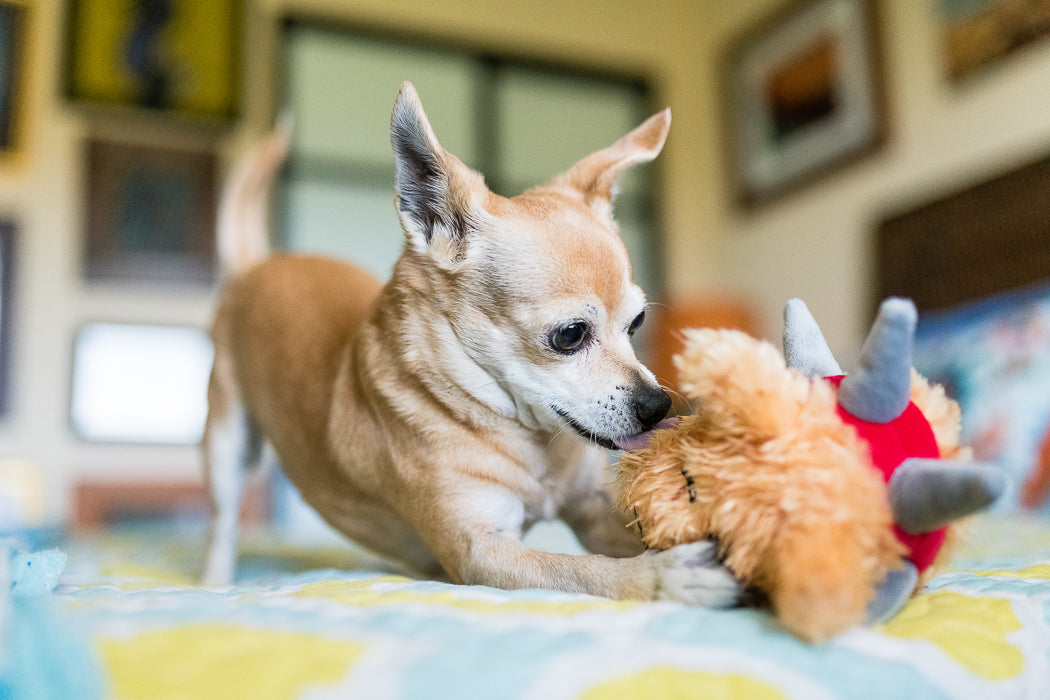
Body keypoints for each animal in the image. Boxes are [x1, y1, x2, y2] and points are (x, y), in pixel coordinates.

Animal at [198, 83, 739, 608]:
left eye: (637, 322)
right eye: (570, 335)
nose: (657, 405)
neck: (528, 444)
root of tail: (258, 266)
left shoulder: (592, 508)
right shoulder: (481, 553)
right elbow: (582, 572)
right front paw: (667, 578)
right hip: (227, 445)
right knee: (222, 524)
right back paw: (216, 584)